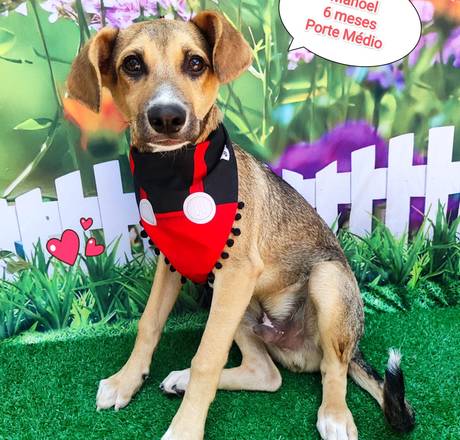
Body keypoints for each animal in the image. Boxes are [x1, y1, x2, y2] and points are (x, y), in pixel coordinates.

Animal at [67, 11, 415, 440]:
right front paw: (125, 381)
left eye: (195, 63)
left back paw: (335, 416)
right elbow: (148, 324)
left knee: (333, 369)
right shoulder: (174, 263)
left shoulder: (236, 274)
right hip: (231, 301)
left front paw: (184, 429)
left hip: (326, 281)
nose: (167, 117)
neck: (177, 178)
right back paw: (181, 379)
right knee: (267, 374)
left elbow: (207, 358)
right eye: (132, 64)